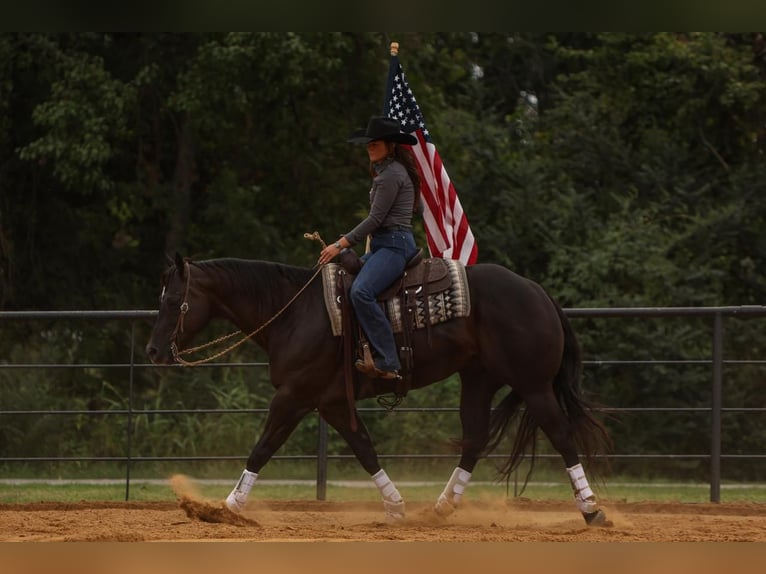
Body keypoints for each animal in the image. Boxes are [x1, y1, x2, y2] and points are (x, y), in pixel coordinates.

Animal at [144, 254, 612, 528]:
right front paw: (395, 506)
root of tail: (539, 293)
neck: (296, 313)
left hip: (534, 386)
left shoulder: (293, 397)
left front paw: (224, 508)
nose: (152, 351)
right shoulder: (333, 403)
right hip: (478, 379)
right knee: (475, 438)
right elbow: (365, 450)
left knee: (562, 436)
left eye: (171, 301)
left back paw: (592, 510)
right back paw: (441, 508)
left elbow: (262, 448)